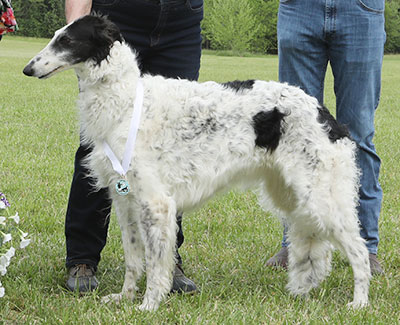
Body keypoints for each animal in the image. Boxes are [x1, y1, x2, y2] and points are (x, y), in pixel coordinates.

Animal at [23, 14, 370, 308]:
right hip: (292, 196)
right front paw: (124, 298)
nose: (28, 69)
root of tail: (326, 115)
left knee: (359, 250)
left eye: (66, 40)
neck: (126, 100)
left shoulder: (156, 203)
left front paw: (148, 305)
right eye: (55, 36)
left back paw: (360, 303)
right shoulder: (125, 201)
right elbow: (134, 260)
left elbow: (156, 263)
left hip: (321, 199)